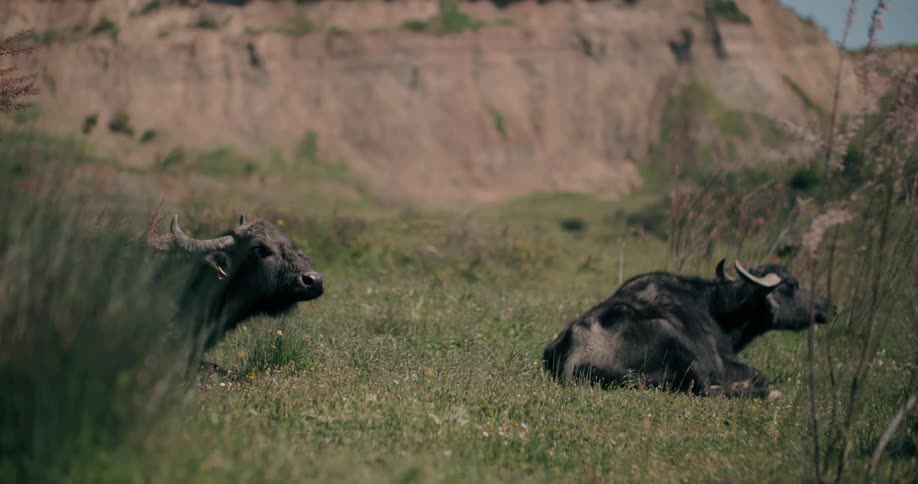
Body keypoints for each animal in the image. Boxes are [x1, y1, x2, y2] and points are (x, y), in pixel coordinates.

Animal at [542, 260, 831, 398]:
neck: (715, 310)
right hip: (677, 346)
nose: (829, 306)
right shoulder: (721, 363)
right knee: (707, 390)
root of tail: (573, 350)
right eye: (791, 285)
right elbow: (760, 375)